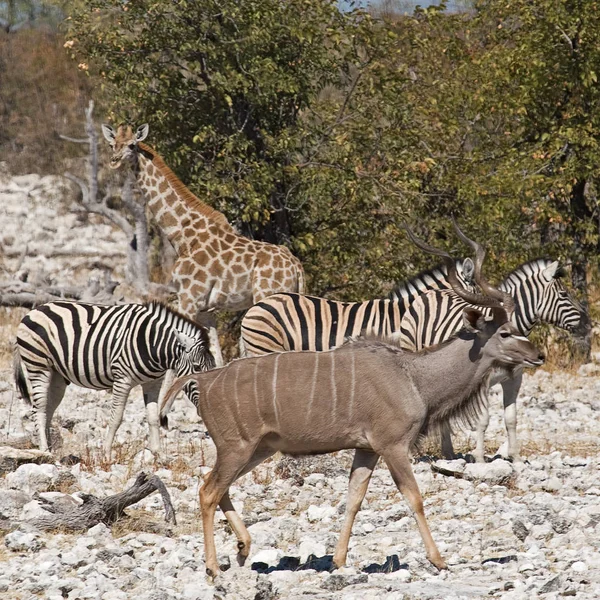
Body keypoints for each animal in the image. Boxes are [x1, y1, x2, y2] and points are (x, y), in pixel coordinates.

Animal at [12, 300, 216, 460]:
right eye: (197, 368)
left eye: (213, 368)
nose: (208, 406)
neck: (153, 345)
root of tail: (35, 309)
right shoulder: (122, 379)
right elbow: (116, 418)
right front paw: (107, 454)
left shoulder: (154, 383)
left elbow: (152, 417)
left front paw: (159, 454)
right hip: (38, 365)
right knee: (39, 409)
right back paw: (44, 451)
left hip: (57, 376)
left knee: (48, 409)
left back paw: (50, 450)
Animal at [102, 123, 304, 366]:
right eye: (112, 144)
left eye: (132, 145)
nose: (114, 160)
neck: (182, 234)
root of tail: (297, 267)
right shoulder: (207, 308)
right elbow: (216, 358)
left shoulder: (188, 299)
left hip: (267, 297)